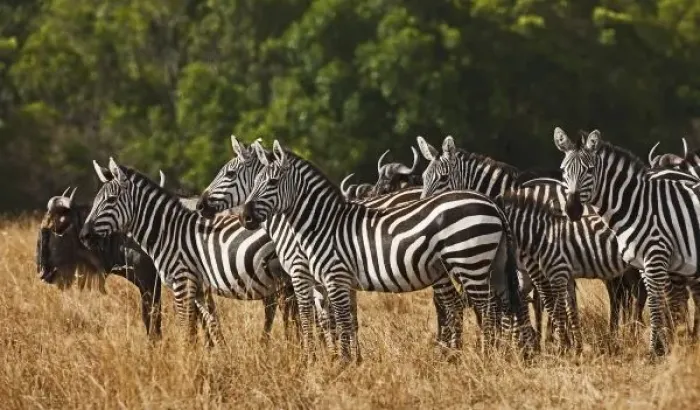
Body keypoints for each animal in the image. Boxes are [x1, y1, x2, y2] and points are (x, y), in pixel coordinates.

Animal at [78, 158, 299, 347]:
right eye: (96, 200)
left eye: (111, 200)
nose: (84, 235)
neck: (169, 233)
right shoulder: (199, 289)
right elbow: (208, 326)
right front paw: (214, 358)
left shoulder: (181, 283)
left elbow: (185, 329)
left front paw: (186, 362)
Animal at [197, 138, 466, 357]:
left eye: (230, 174)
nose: (200, 205)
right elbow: (333, 318)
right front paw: (340, 356)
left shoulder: (301, 271)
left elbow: (318, 317)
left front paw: (319, 356)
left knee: (450, 304)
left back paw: (448, 352)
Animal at [236, 139, 534, 362]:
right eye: (256, 182)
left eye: (272, 183)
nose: (244, 217)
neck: (322, 224)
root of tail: (490, 202)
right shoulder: (336, 281)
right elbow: (344, 321)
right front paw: (350, 362)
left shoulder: (335, 276)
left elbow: (340, 320)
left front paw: (342, 364)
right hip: (493, 264)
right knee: (499, 306)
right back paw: (497, 356)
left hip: (470, 260)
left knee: (487, 308)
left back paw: (485, 358)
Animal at [415, 135, 653, 347]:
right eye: (424, 177)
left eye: (443, 178)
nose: (424, 209)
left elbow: (538, 301)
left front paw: (539, 340)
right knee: (623, 294)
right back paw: (623, 333)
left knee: (630, 293)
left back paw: (628, 333)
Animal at [554, 127, 700, 357]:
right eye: (563, 171)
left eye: (590, 170)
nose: (572, 210)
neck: (638, 205)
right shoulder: (643, 265)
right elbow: (653, 301)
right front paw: (661, 346)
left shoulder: (655, 257)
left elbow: (655, 304)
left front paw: (654, 351)